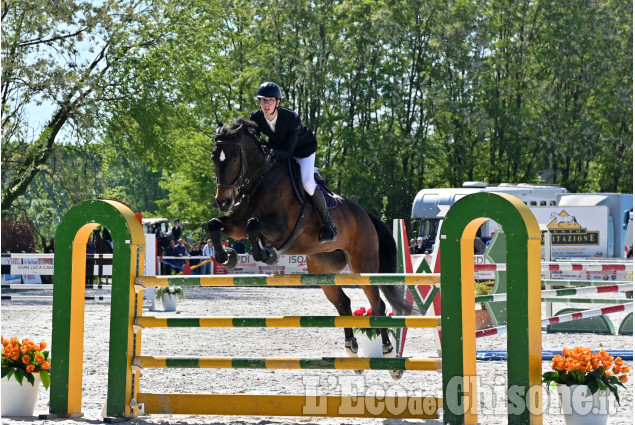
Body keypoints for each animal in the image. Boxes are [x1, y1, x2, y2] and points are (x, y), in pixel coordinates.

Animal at [206, 117, 410, 378]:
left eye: (234, 158)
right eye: (214, 157)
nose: (223, 201)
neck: (260, 179)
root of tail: (366, 215)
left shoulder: (281, 227)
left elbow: (254, 226)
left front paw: (266, 254)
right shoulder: (236, 225)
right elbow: (215, 224)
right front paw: (227, 256)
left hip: (363, 266)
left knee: (378, 305)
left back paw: (389, 356)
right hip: (322, 268)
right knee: (343, 303)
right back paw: (352, 351)